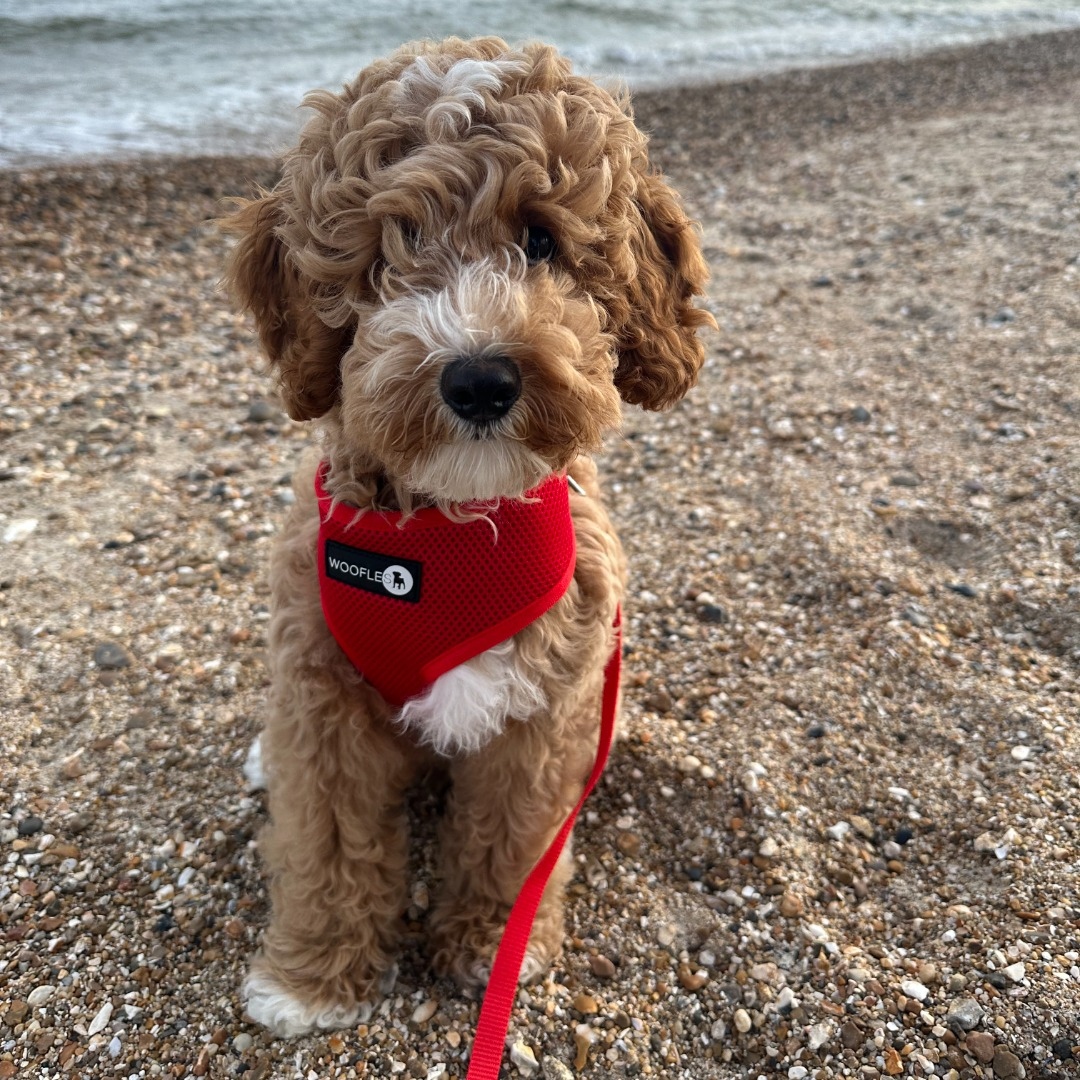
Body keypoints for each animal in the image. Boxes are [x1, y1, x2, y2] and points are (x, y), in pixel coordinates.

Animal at [223, 35, 712, 1036]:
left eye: (542, 240)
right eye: (390, 246)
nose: (480, 378)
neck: (452, 533)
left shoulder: (544, 705)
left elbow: (510, 838)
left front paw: (491, 947)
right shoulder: (324, 699)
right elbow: (326, 840)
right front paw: (310, 978)